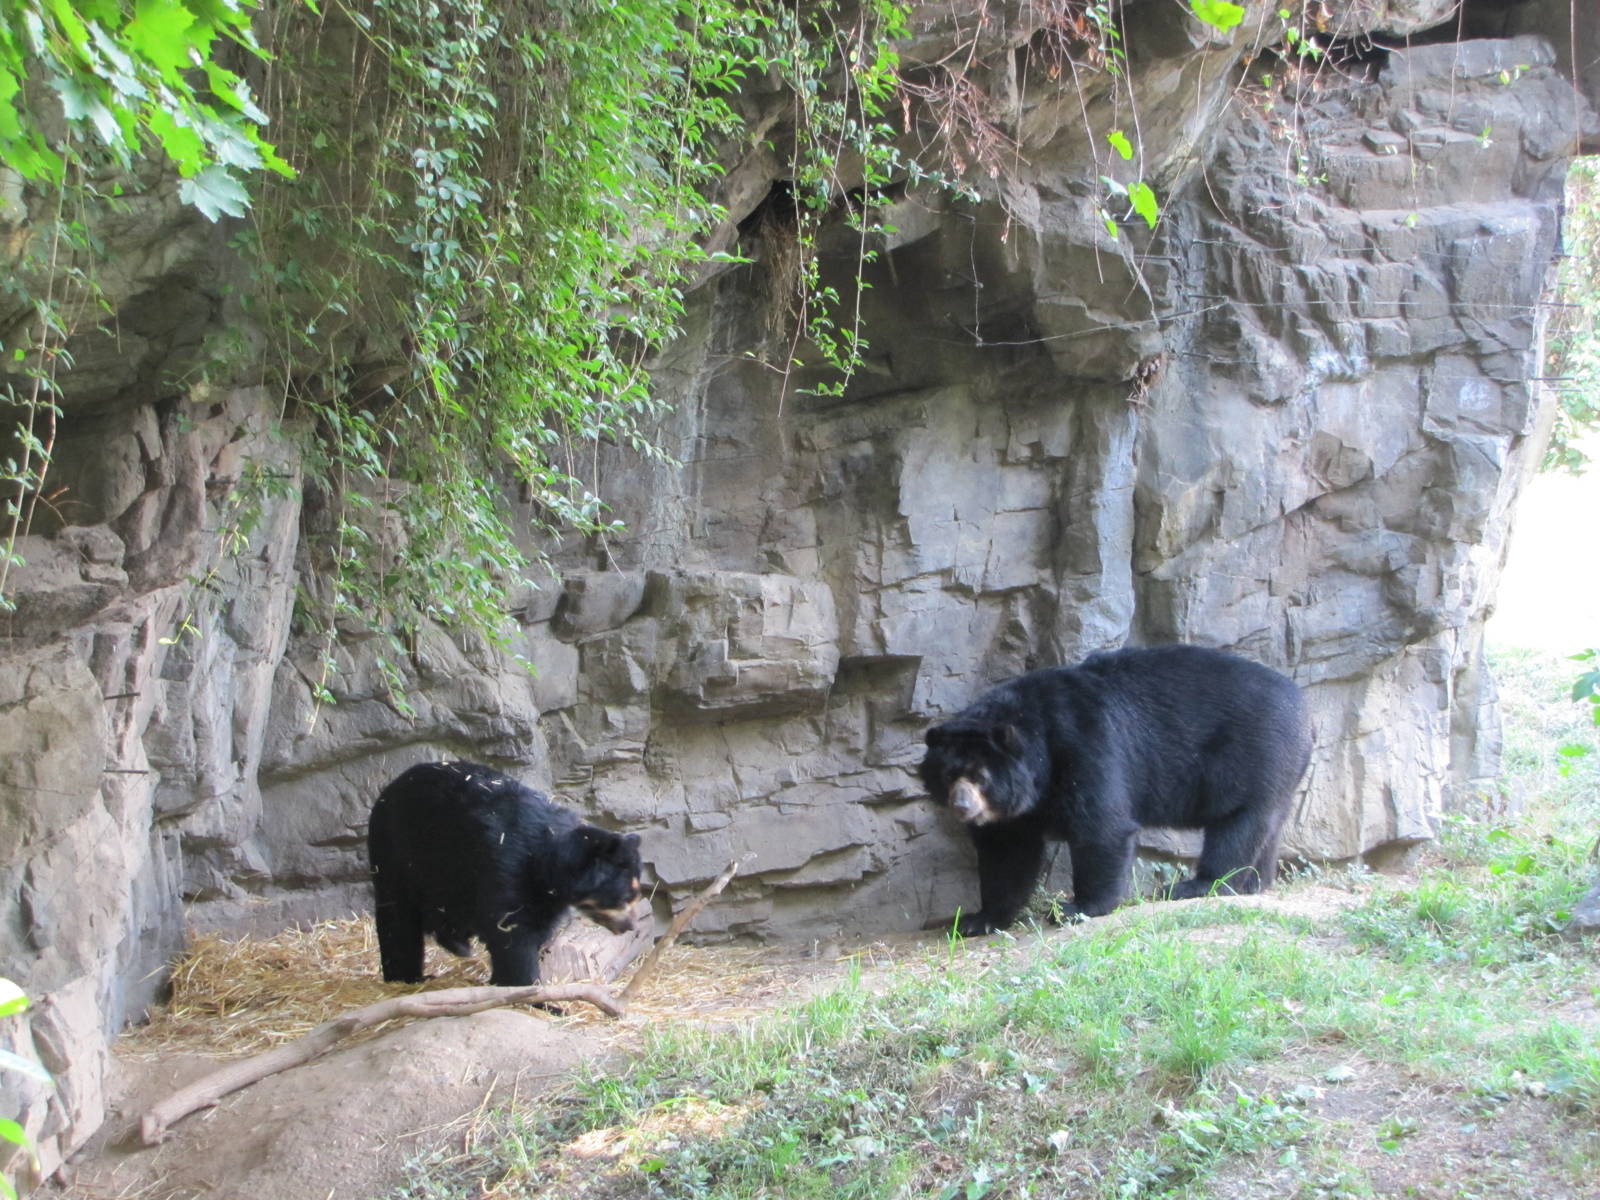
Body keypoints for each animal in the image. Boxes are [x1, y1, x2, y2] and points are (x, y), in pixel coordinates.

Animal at [367, 760, 644, 985]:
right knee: (397, 914)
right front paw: (528, 988)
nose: (631, 926)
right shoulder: (507, 864)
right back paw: (406, 975)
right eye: (625, 896)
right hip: (399, 848)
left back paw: (456, 945)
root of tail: (387, 791)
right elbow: (513, 931)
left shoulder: (544, 892)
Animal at [918, 644, 1313, 936]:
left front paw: (1077, 907)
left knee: (1238, 823)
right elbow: (1008, 851)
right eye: (949, 775)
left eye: (981, 776)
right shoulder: (1018, 808)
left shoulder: (1085, 746)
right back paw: (1253, 884)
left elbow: (1101, 826)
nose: (962, 806)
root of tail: (1305, 710)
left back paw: (1197, 885)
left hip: (1255, 756)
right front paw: (978, 920)